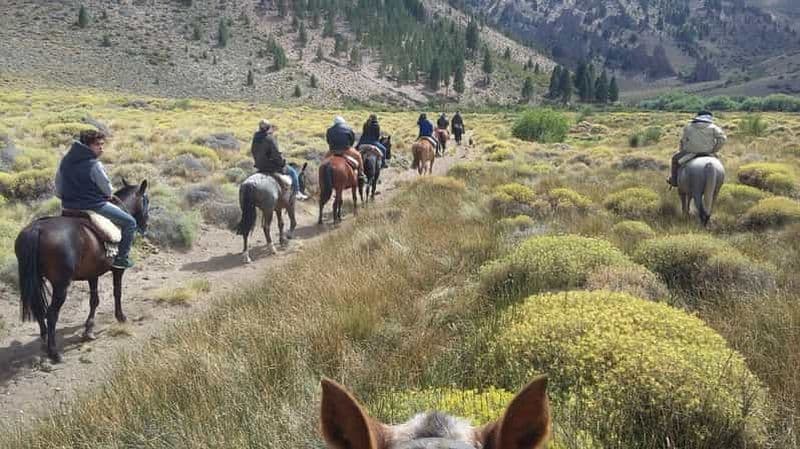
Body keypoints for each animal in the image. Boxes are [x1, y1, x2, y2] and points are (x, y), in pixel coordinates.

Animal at [14, 180, 150, 363]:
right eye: (146, 200)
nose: (145, 224)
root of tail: (37, 230)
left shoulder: (93, 274)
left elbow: (94, 300)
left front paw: (89, 330)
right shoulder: (117, 270)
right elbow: (117, 292)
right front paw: (121, 317)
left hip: (35, 280)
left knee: (39, 309)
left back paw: (44, 341)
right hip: (61, 285)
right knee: (51, 313)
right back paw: (54, 352)